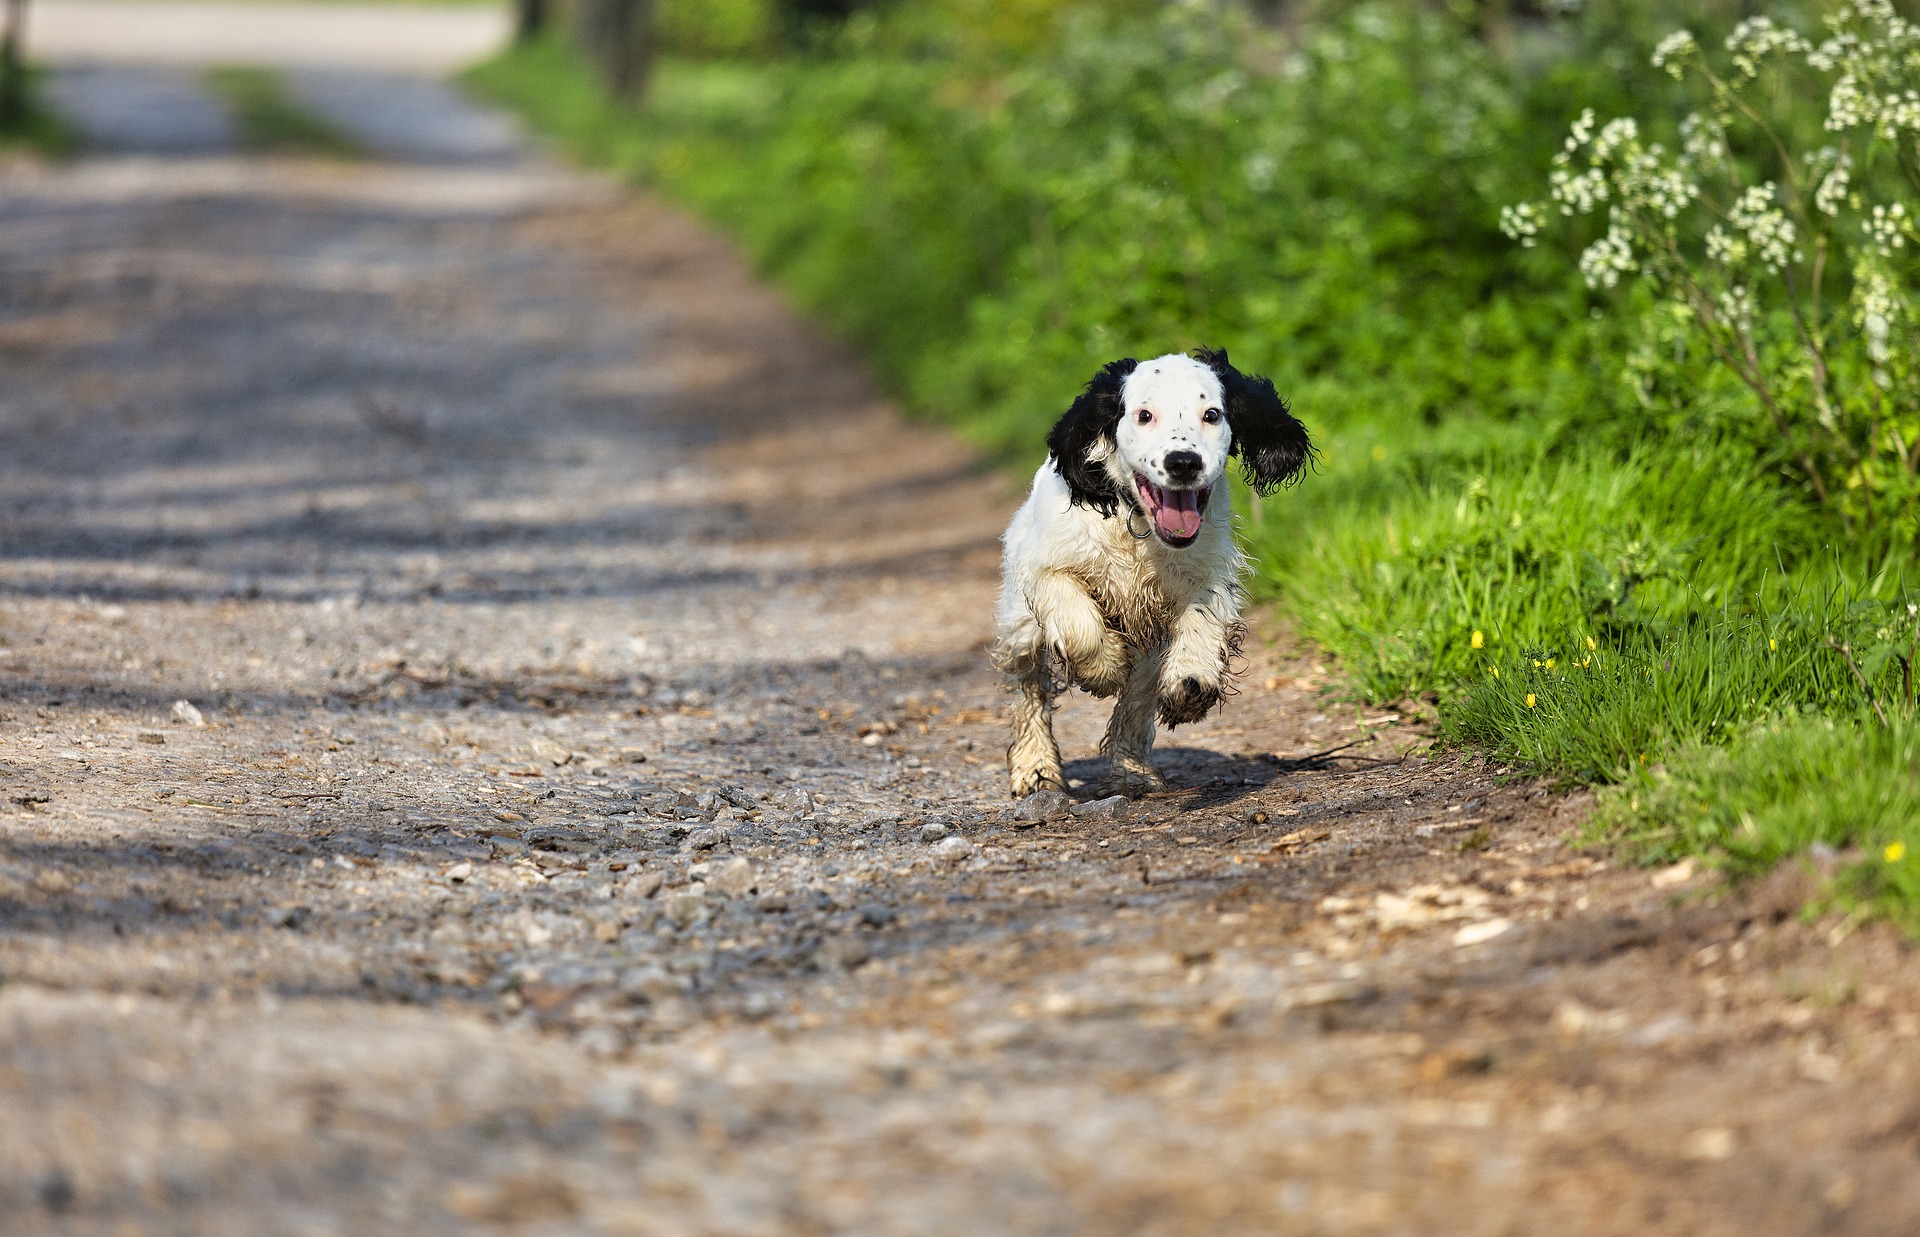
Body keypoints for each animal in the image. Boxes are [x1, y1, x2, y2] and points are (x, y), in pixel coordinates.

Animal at [998, 347, 1313, 799]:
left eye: (1212, 414)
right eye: (1144, 415)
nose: (1183, 462)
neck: (1139, 527)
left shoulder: (1206, 574)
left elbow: (1201, 622)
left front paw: (1191, 682)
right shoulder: (1044, 564)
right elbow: (1077, 624)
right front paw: (1102, 669)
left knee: (1138, 698)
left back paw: (1133, 771)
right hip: (1020, 626)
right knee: (1028, 686)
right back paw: (1036, 768)